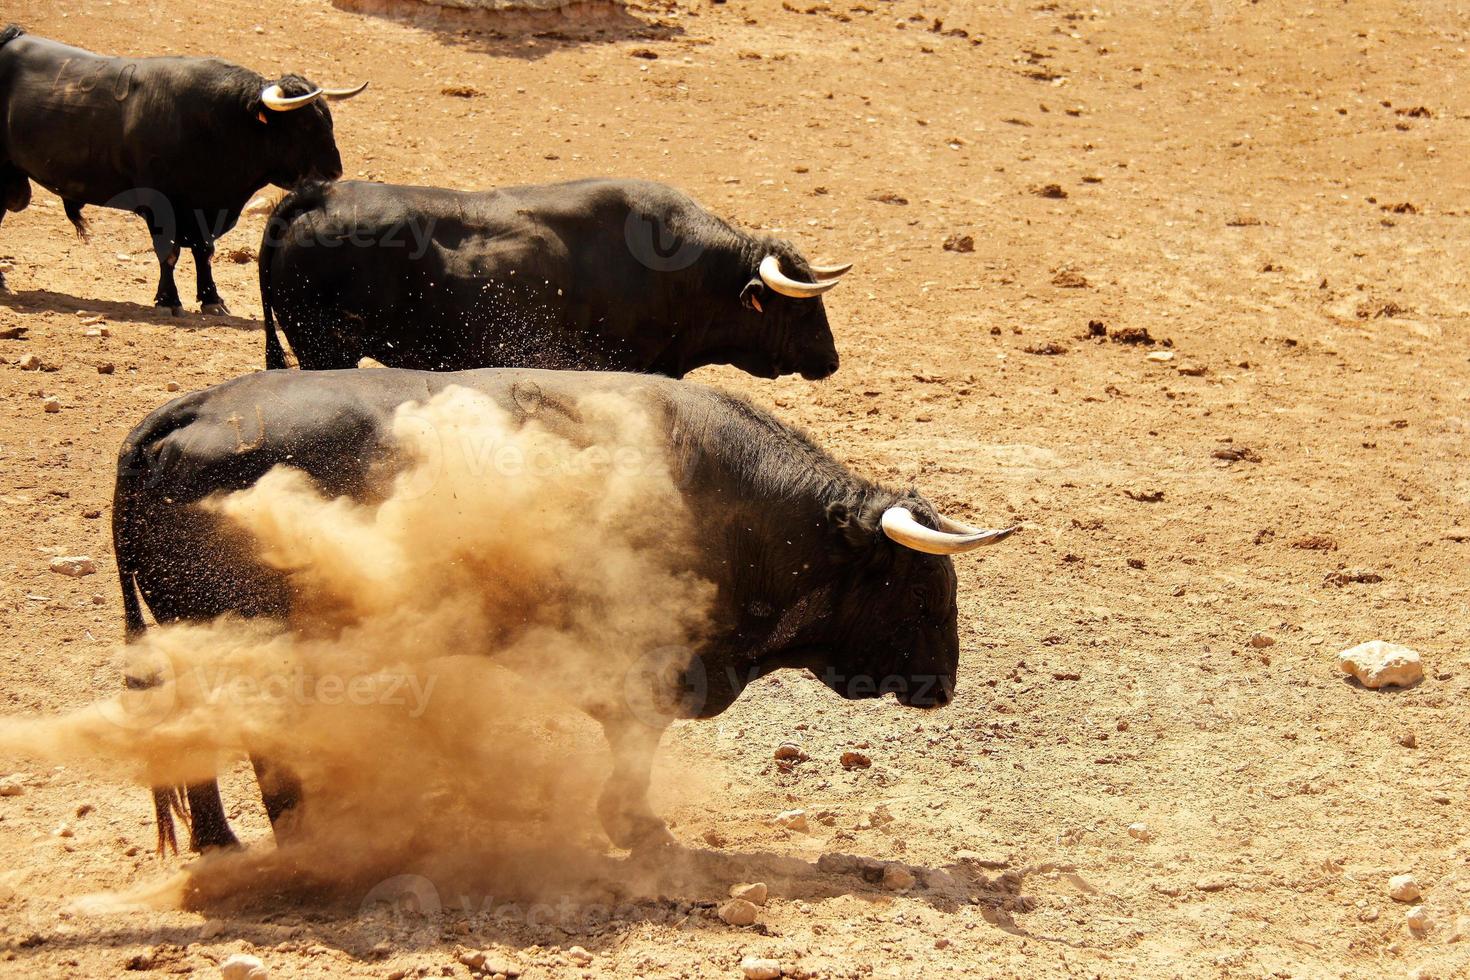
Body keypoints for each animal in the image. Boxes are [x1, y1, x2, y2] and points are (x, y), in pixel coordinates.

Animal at [0, 25, 366, 310]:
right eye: (304, 124)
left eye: (327, 119)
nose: (334, 172)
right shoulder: (162, 205)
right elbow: (169, 252)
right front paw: (168, 299)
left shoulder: (204, 208)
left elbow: (204, 251)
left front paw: (211, 299)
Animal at [114, 365, 1017, 852]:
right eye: (924, 586)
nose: (944, 685)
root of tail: (180, 418)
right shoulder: (648, 666)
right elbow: (632, 751)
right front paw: (636, 829)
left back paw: (235, 839)